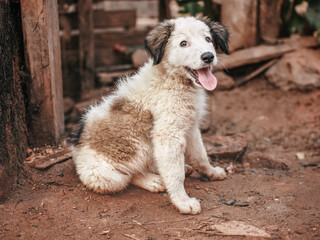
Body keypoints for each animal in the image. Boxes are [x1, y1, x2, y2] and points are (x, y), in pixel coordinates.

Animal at [72, 16, 230, 214]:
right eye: (183, 43)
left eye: (208, 39)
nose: (208, 56)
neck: (172, 79)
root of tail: (76, 148)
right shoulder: (168, 134)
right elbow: (175, 174)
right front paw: (182, 202)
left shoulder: (190, 127)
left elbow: (200, 156)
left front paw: (212, 172)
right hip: (104, 175)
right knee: (129, 176)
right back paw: (153, 181)